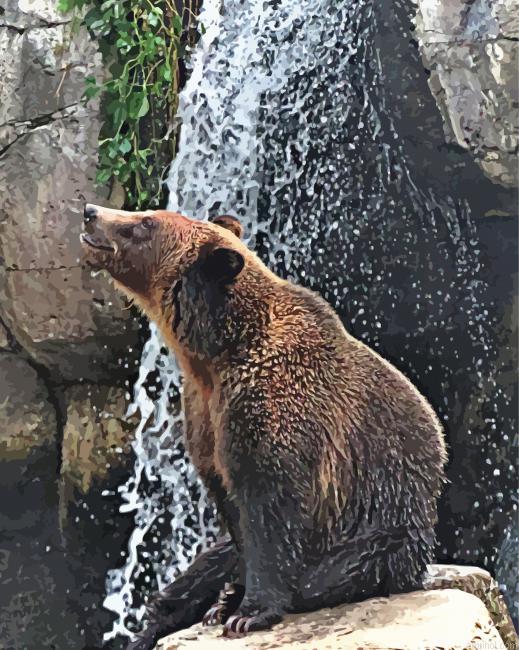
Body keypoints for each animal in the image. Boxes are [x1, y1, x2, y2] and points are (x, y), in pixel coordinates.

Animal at [80, 204, 447, 649]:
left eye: (144, 223)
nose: (90, 212)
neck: (215, 354)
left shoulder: (277, 405)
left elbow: (271, 508)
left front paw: (249, 612)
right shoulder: (205, 416)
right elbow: (233, 517)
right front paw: (229, 601)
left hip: (383, 526)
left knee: (337, 571)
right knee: (203, 567)